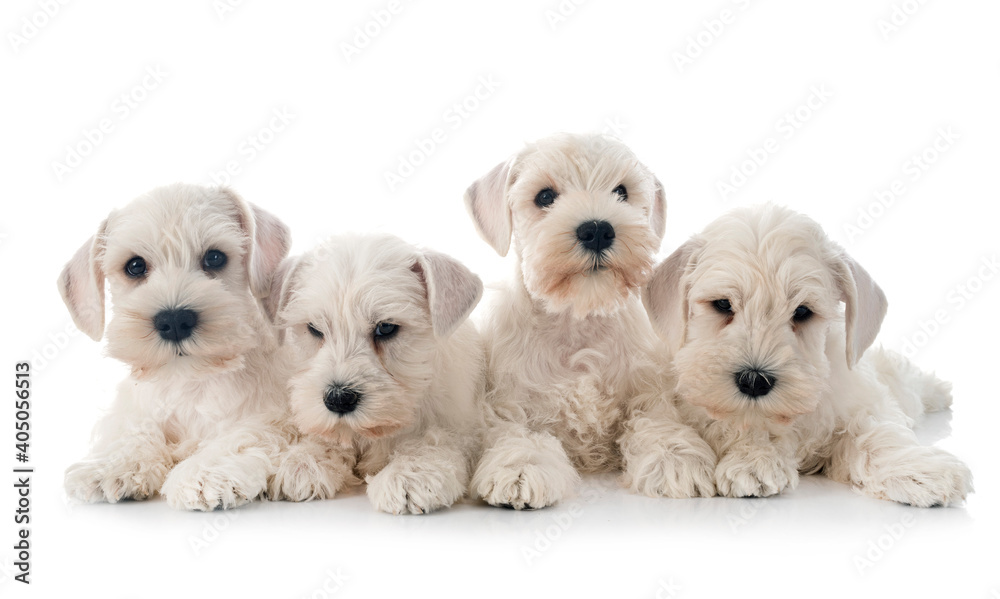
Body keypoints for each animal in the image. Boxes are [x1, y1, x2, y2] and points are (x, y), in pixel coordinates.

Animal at [60, 183, 292, 510]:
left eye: (215, 258)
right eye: (135, 266)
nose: (174, 320)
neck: (188, 382)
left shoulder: (269, 416)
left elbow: (241, 436)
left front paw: (205, 473)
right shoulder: (136, 408)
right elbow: (134, 429)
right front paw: (111, 464)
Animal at [266, 234, 484, 516]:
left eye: (386, 328)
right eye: (314, 329)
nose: (338, 399)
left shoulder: (462, 427)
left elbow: (436, 439)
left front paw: (409, 474)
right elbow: (327, 436)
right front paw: (303, 462)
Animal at [460, 134, 720, 508]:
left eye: (622, 191)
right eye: (544, 196)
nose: (597, 230)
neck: (577, 320)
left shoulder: (646, 390)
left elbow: (656, 420)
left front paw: (675, 458)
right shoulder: (510, 402)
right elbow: (520, 433)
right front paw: (521, 468)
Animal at [644, 205, 972, 506]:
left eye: (802, 312)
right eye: (723, 304)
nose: (754, 381)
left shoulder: (861, 402)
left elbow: (878, 435)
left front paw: (920, 469)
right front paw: (736, 461)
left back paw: (939, 392)